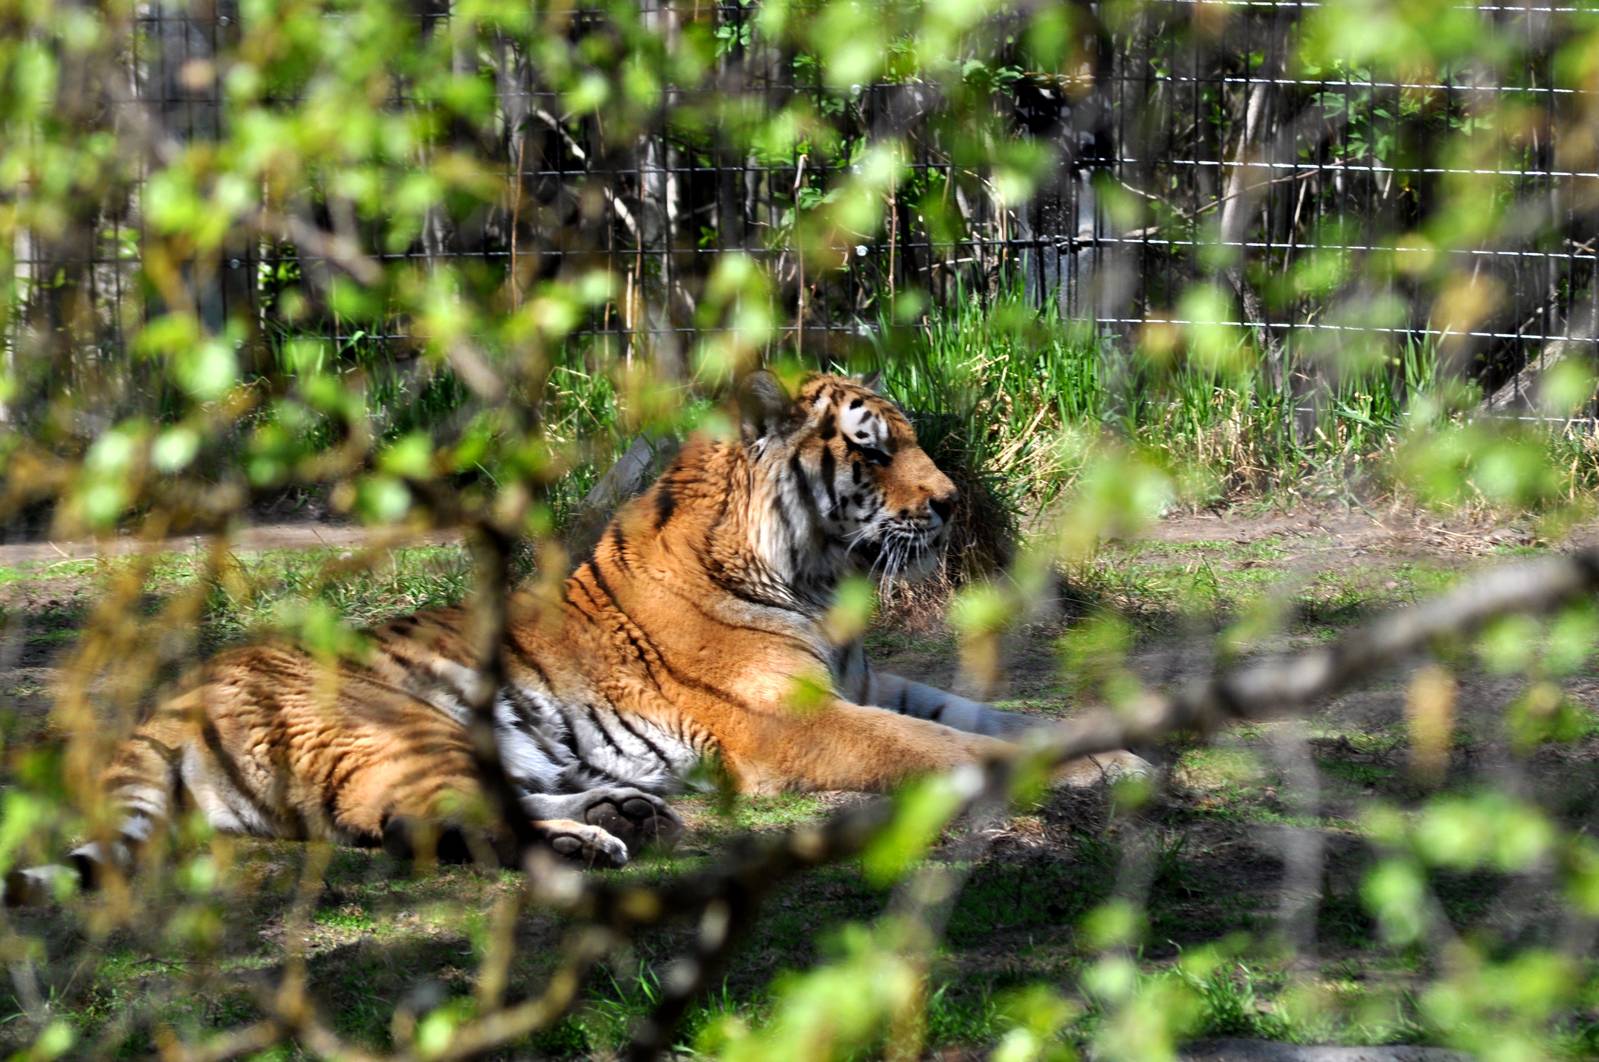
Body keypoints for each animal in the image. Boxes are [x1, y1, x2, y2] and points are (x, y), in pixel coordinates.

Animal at [3, 371, 1148, 904]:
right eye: (873, 450)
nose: (954, 506)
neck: (813, 575)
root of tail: (176, 694)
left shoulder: (873, 683)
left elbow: (991, 713)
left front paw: (1122, 747)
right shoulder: (793, 721)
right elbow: (946, 747)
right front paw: (1092, 772)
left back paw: (625, 813)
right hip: (400, 725)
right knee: (406, 825)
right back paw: (592, 842)